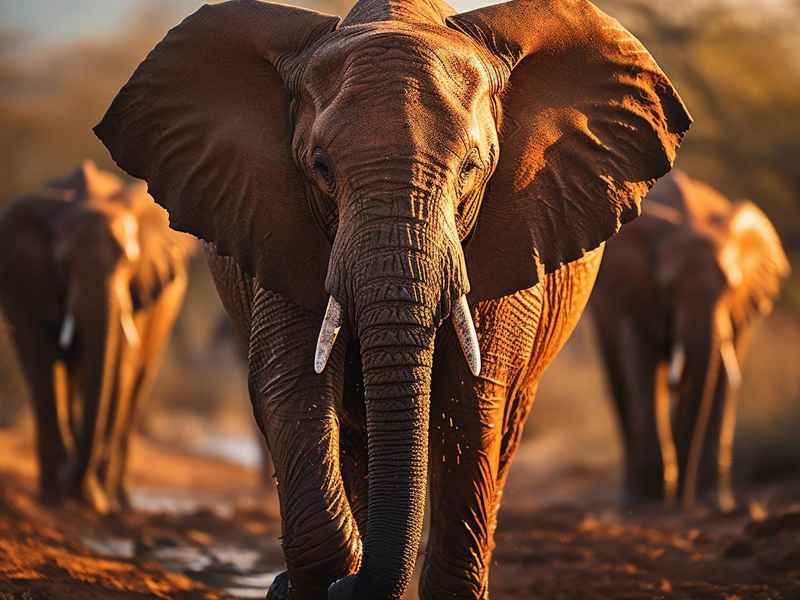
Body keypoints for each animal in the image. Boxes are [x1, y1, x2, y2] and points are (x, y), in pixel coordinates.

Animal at [0, 161, 195, 513]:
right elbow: (43, 362)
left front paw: (93, 500)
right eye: (62, 263)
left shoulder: (138, 291)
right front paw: (55, 499)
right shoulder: (27, 281)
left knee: (135, 387)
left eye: (128, 262)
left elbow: (119, 367)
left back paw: (119, 500)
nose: (72, 483)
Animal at [94, 0, 690, 596]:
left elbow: (469, 400)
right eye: (321, 167)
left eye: (472, 167)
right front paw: (324, 577)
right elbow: (292, 383)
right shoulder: (279, 224)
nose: (280, 583)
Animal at [590, 170, 790, 510]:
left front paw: (714, 502)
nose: (684, 498)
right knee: (619, 380)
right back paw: (632, 499)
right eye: (668, 288)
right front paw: (650, 502)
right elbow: (642, 369)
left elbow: (718, 377)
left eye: (729, 287)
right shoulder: (635, 292)